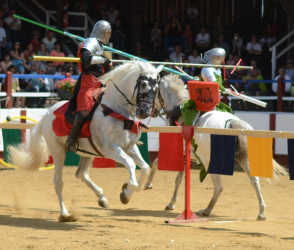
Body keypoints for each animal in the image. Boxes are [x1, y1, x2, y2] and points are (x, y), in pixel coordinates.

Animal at [7, 61, 163, 222]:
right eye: (143, 83)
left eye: (157, 87)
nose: (145, 111)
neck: (116, 110)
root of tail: (47, 114)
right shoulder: (111, 150)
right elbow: (131, 165)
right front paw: (127, 189)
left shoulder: (129, 148)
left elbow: (145, 168)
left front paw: (126, 193)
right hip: (58, 151)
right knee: (58, 182)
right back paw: (65, 214)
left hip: (89, 152)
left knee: (81, 174)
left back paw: (102, 198)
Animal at [145, 74, 288, 221]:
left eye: (153, 91)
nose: (149, 110)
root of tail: (232, 123)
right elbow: (179, 178)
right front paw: (171, 203)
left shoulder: (178, 151)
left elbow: (159, 165)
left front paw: (150, 185)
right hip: (244, 158)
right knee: (254, 181)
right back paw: (261, 212)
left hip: (212, 161)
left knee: (219, 187)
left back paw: (206, 210)